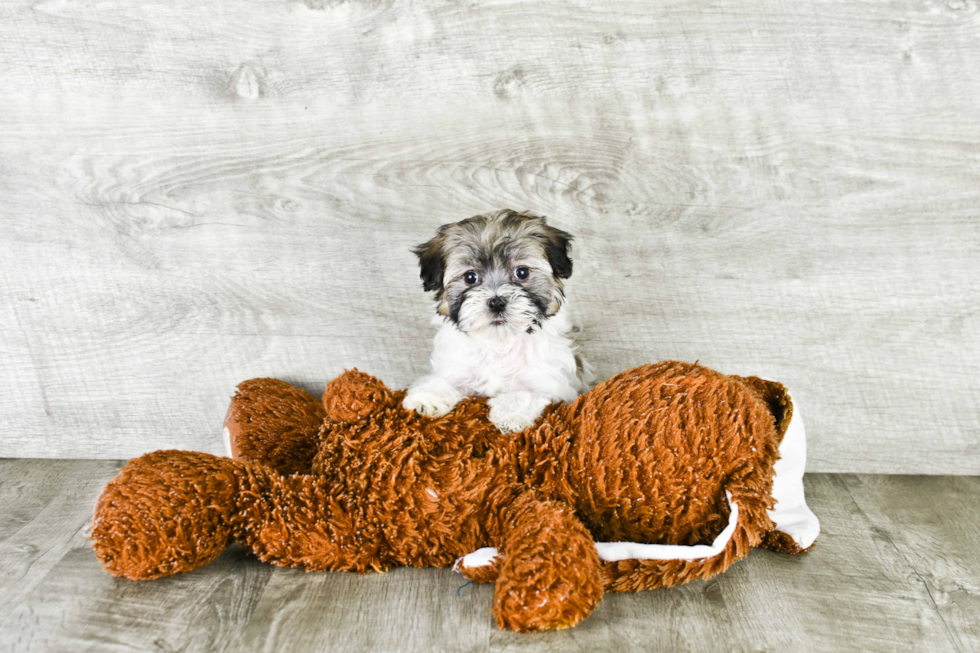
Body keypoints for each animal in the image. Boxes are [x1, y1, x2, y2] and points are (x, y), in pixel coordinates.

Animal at [402, 209, 592, 432]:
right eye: (470, 277)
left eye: (522, 272)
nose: (497, 302)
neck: (499, 342)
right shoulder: (455, 368)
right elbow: (441, 380)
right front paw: (427, 398)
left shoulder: (553, 384)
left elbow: (524, 394)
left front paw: (511, 414)